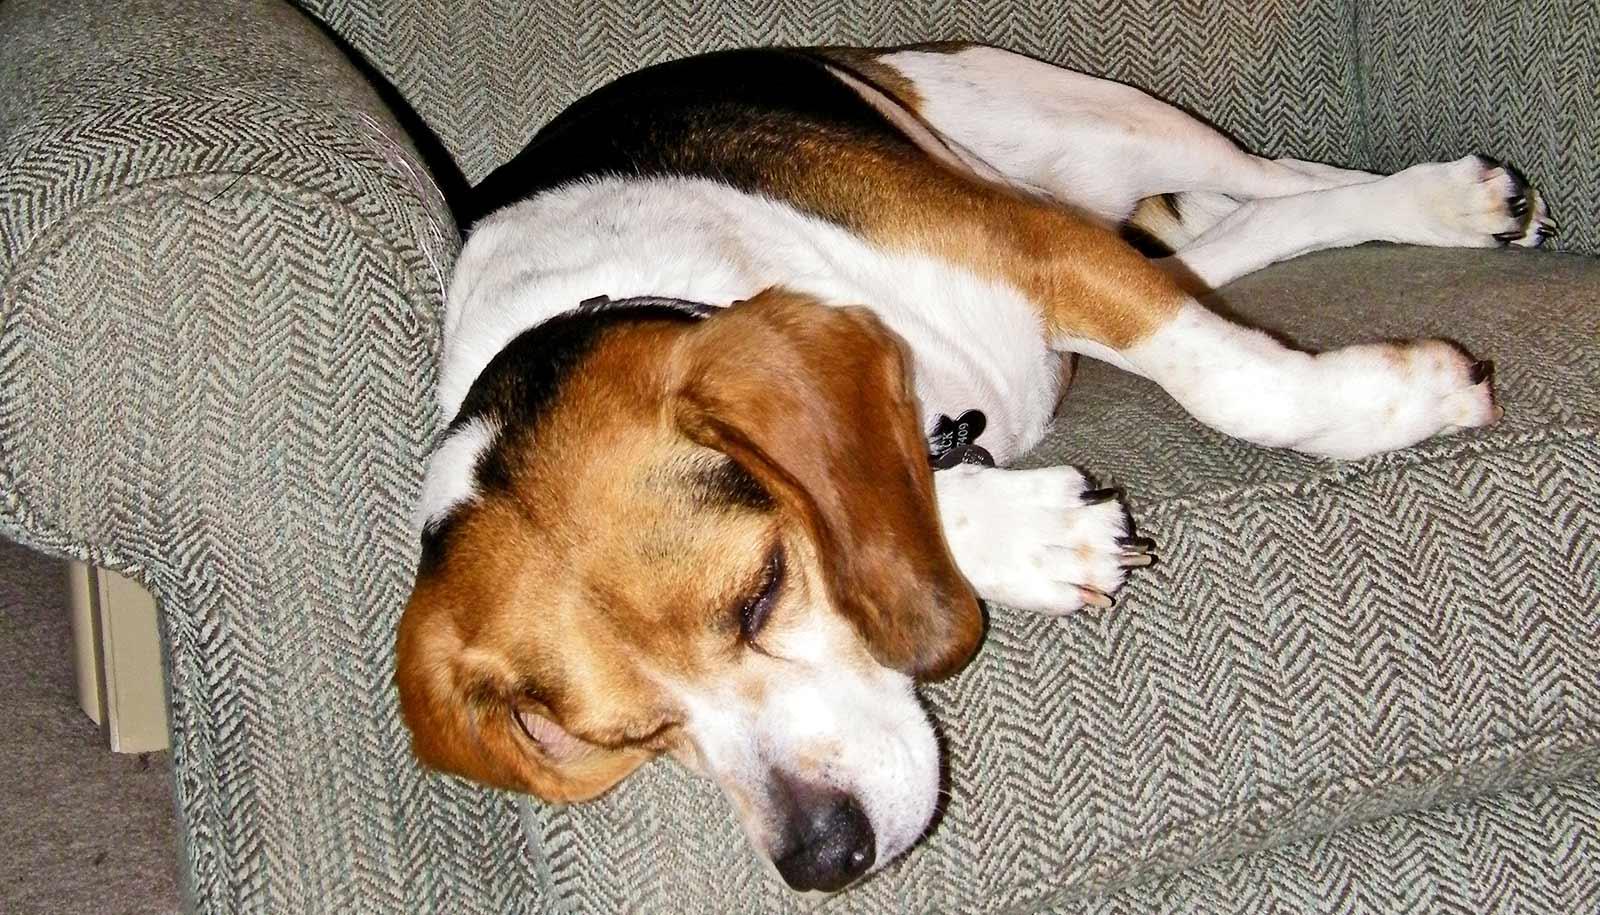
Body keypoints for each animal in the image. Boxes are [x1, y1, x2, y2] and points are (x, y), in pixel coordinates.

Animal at [390, 44, 1548, 895]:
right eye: (633, 732)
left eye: (760, 594)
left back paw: (1455, 201)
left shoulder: (1041, 248)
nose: (825, 858)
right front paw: (1034, 536)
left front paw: (1406, 397)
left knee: (1287, 180)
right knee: (1241, 232)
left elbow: (1239, 386)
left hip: (1090, 127)